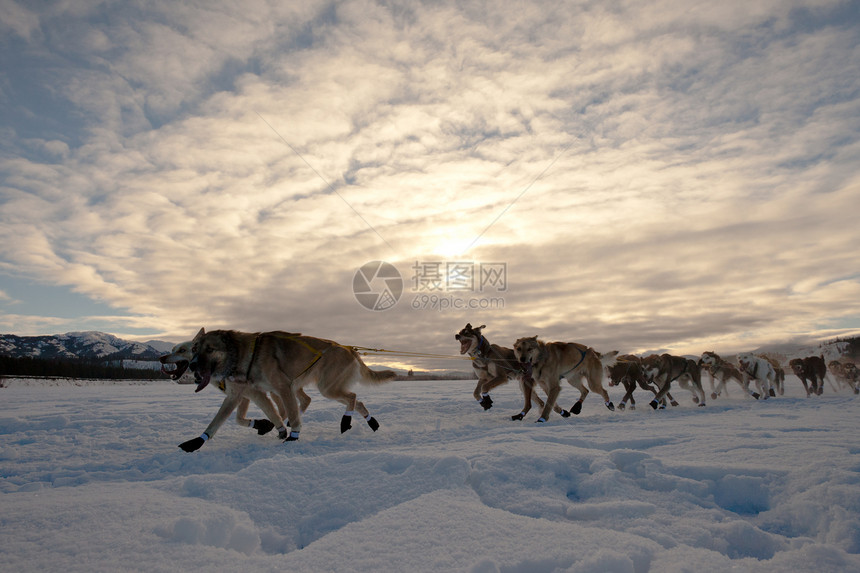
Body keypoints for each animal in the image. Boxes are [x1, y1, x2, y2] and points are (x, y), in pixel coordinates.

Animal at [183, 328, 398, 450]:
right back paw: (371, 422)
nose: (192, 366)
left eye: (210, 349)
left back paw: (346, 421)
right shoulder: (245, 394)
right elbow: (216, 422)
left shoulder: (280, 388)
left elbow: (290, 416)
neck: (248, 354)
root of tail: (350, 349)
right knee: (357, 401)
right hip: (326, 388)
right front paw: (197, 442)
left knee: (352, 396)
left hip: (327, 388)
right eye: (194, 349)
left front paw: (293, 436)